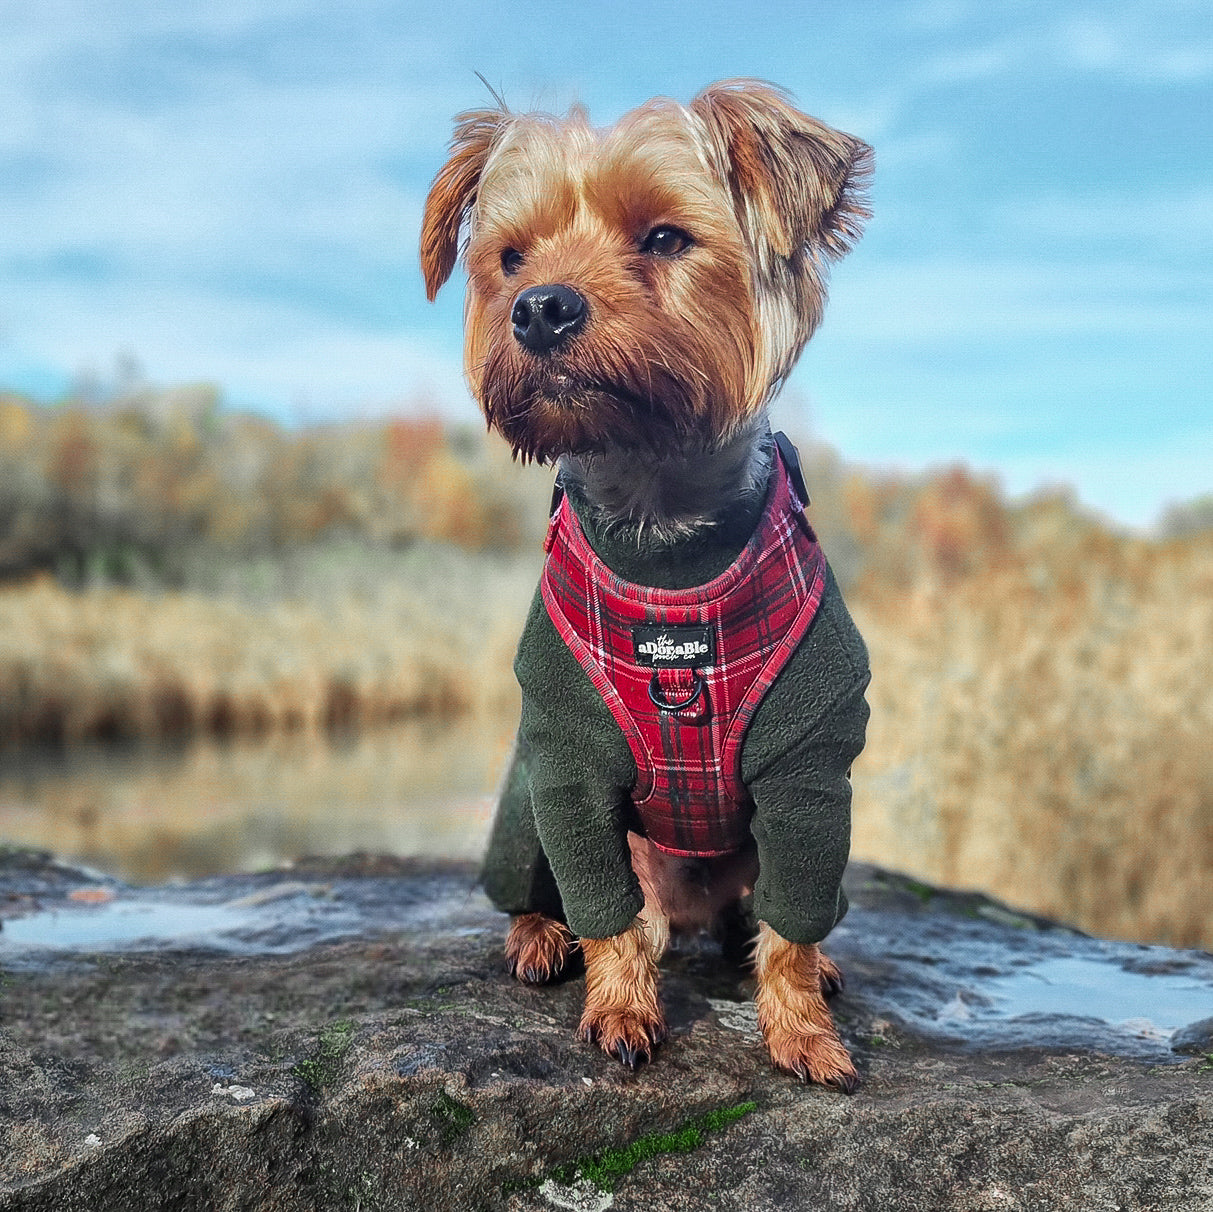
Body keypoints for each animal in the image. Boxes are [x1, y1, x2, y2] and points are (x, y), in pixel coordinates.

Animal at [422, 80, 868, 1096]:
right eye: (509, 258)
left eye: (665, 238)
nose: (538, 308)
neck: (661, 530)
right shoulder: (567, 761)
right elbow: (610, 913)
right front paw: (622, 1010)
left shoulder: (812, 774)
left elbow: (789, 928)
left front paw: (801, 1029)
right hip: (517, 814)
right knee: (551, 894)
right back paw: (537, 938)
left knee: (767, 912)